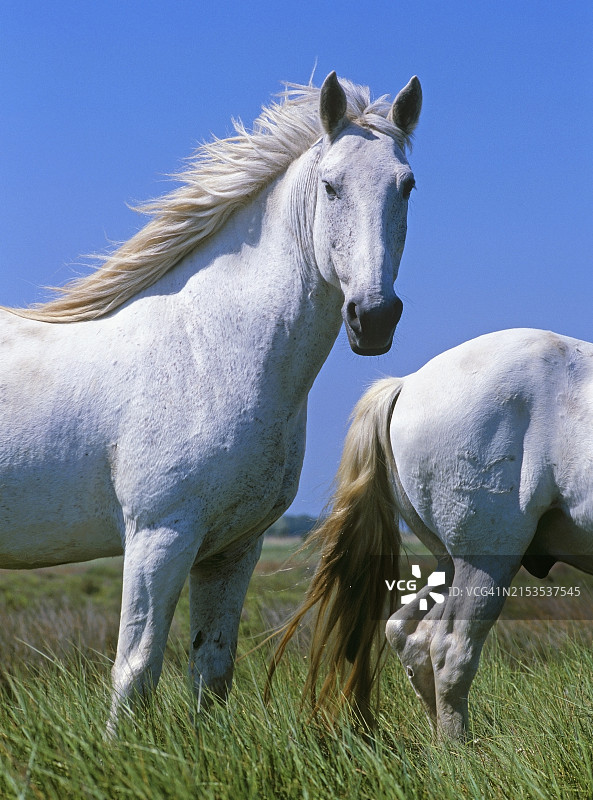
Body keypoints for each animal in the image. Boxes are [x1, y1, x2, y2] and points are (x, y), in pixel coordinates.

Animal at [0, 71, 422, 731]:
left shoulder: (232, 548)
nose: (374, 318)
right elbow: (136, 670)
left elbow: (212, 669)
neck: (206, 347)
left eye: (407, 186)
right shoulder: (159, 537)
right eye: (331, 186)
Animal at [269, 328, 593, 740]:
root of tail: (406, 384)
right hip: (485, 563)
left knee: (406, 633)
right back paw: (459, 750)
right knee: (451, 650)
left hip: (449, 565)